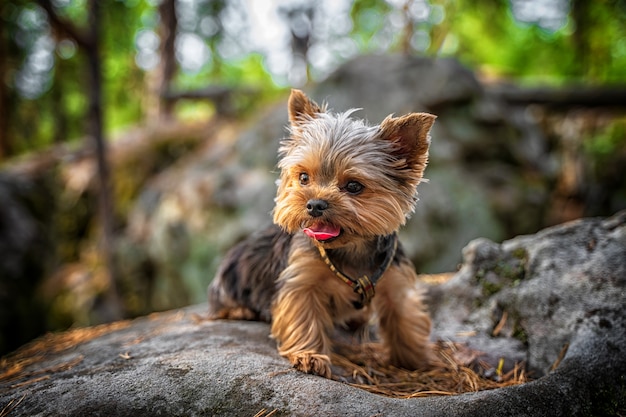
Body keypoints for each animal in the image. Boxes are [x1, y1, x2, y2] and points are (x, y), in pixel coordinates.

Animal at [207, 88, 436, 376]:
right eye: (304, 177)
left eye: (353, 186)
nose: (315, 204)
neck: (349, 249)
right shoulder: (300, 279)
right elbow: (302, 316)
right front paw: (310, 355)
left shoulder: (396, 281)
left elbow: (405, 320)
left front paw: (416, 360)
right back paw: (240, 311)